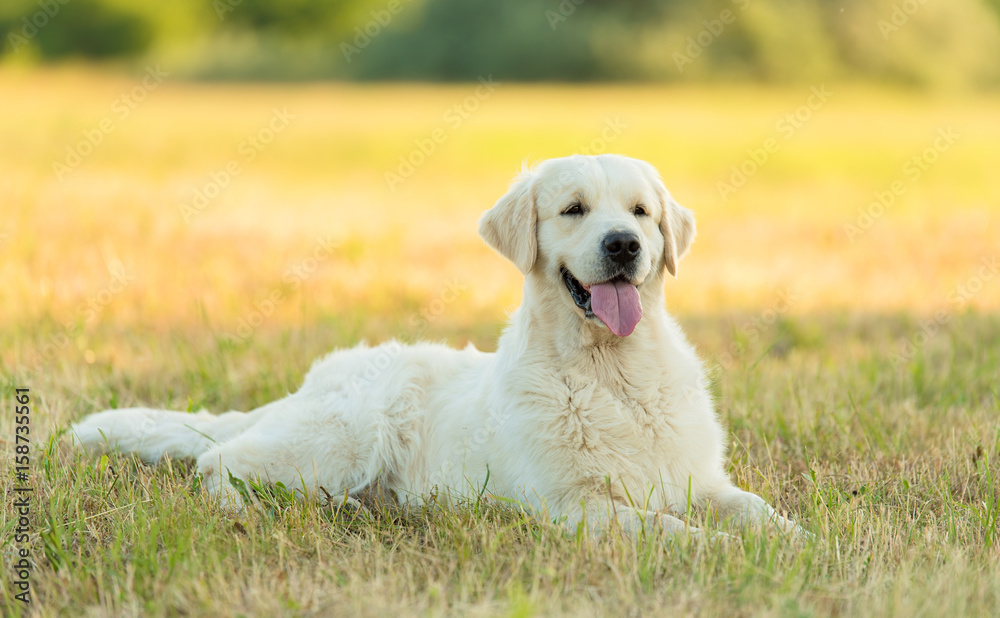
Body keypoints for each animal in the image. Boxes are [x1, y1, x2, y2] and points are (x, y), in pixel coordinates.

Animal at [72, 153, 804, 536]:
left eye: (642, 214)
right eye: (572, 210)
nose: (623, 245)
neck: (613, 373)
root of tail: (314, 380)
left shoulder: (698, 479)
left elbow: (755, 510)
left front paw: (789, 541)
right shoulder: (576, 504)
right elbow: (669, 529)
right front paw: (718, 549)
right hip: (347, 435)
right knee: (219, 462)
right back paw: (254, 509)